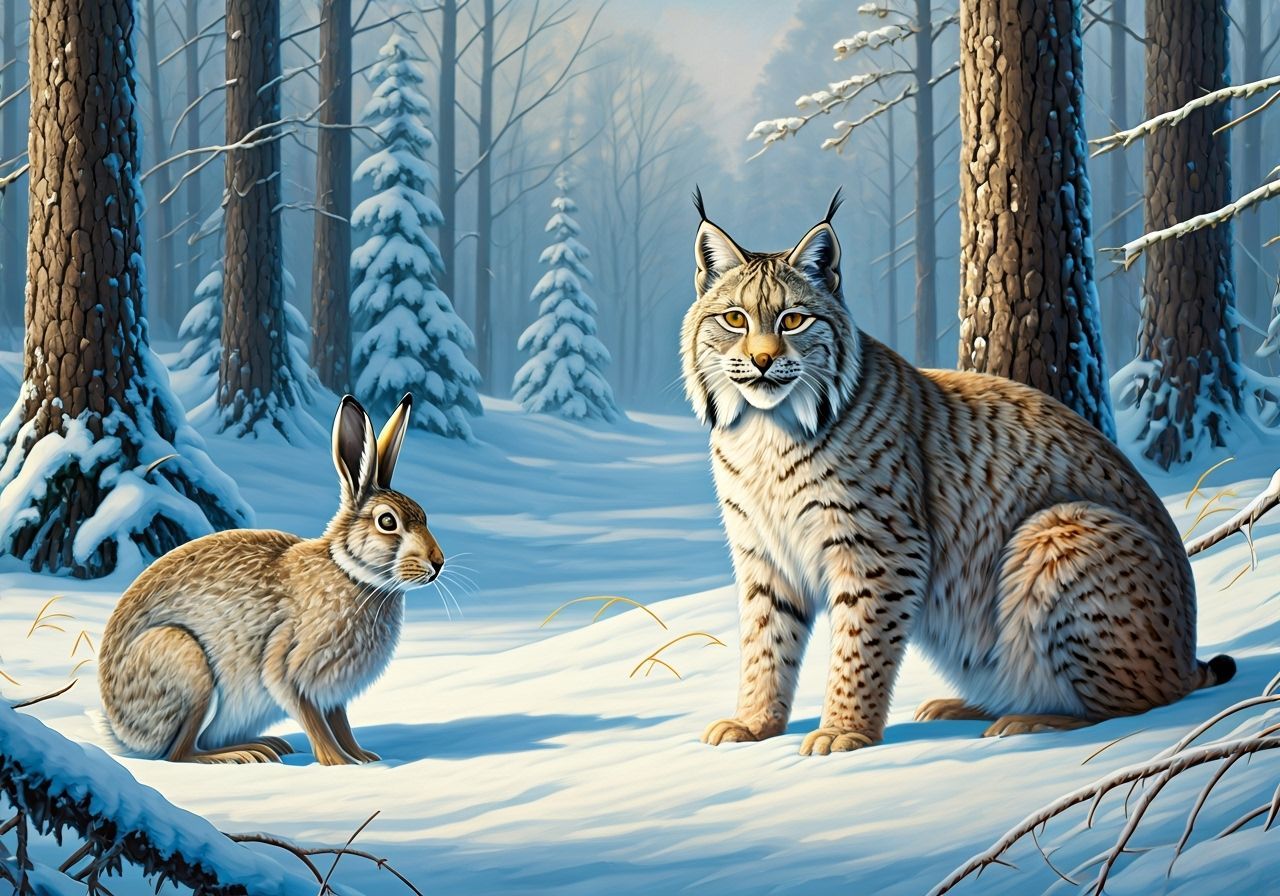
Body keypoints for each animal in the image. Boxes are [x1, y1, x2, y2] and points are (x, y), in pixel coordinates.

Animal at [98, 393, 444, 765]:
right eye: (387, 522)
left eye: (424, 515)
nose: (437, 563)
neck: (350, 572)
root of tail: (119, 729)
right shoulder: (286, 665)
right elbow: (314, 721)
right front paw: (337, 762)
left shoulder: (332, 689)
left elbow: (340, 723)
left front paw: (364, 757)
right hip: (186, 665)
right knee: (179, 753)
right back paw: (245, 753)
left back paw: (267, 745)